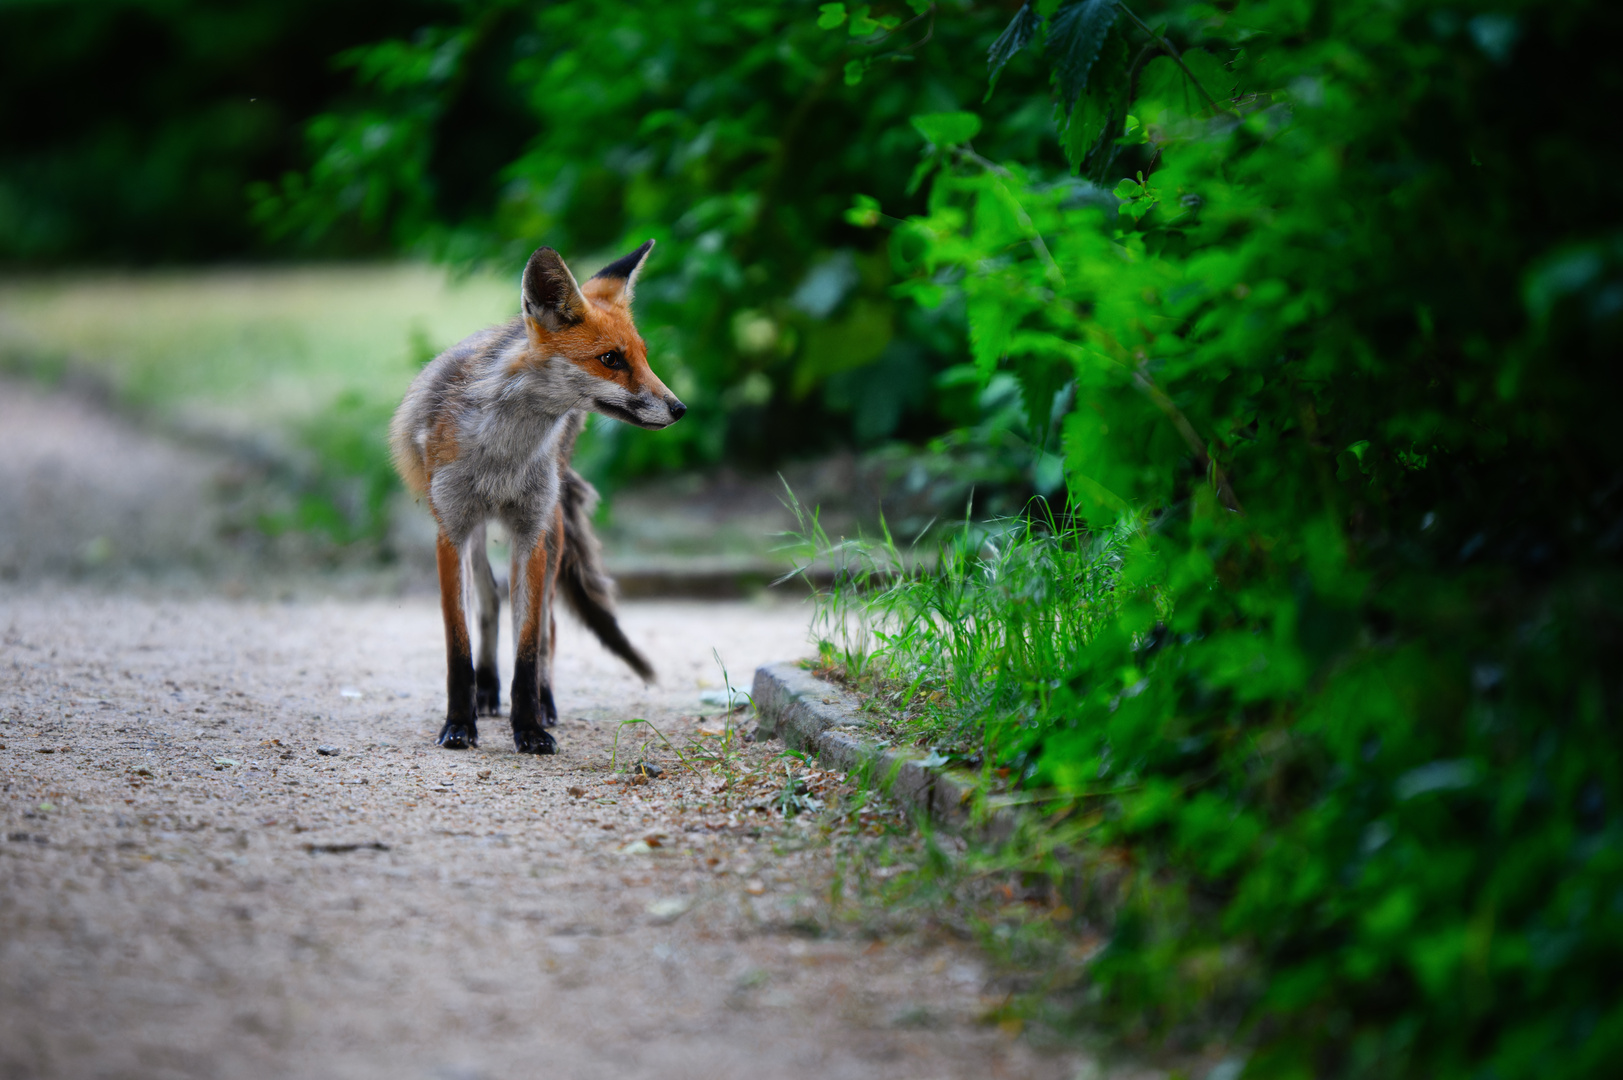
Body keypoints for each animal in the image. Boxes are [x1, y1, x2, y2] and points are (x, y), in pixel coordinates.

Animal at [389, 240, 681, 753]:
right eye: (611, 359)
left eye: (644, 357)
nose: (679, 408)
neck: (502, 456)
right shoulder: (451, 530)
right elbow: (458, 642)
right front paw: (459, 723)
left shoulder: (531, 532)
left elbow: (527, 646)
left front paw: (528, 727)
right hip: (479, 531)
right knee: (488, 600)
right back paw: (486, 690)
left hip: (552, 529)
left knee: (548, 627)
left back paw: (544, 702)